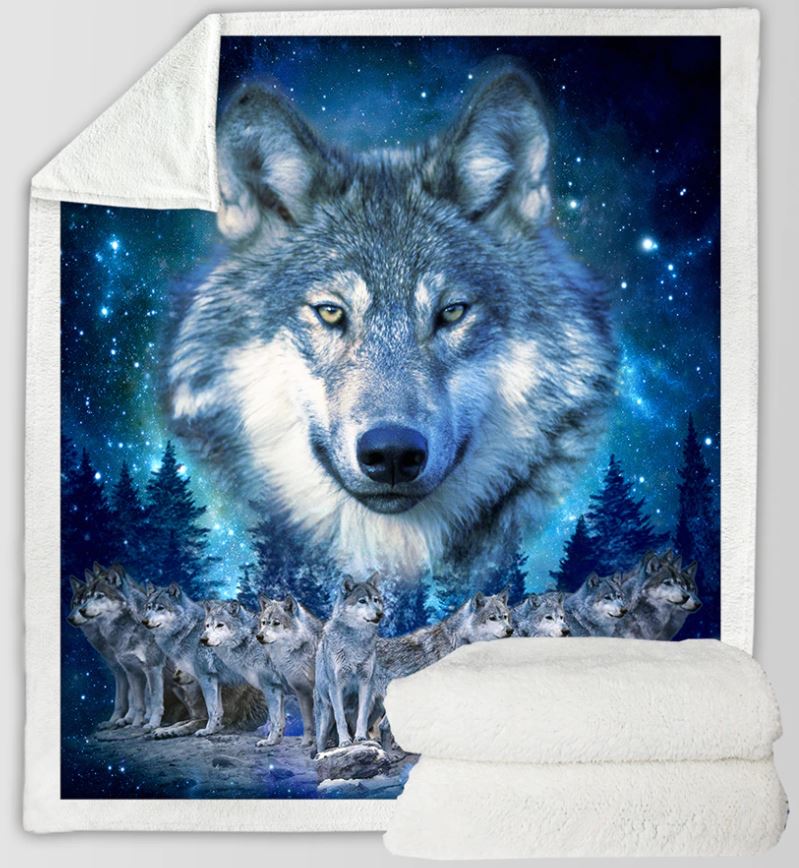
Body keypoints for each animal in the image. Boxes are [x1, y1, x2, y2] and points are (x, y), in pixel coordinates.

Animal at [141, 584, 266, 737]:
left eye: (160, 608)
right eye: (148, 607)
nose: (144, 621)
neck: (188, 629)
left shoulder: (205, 678)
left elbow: (210, 711)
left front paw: (207, 730)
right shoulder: (216, 680)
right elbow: (215, 712)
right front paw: (214, 729)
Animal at [200, 599, 287, 746]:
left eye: (220, 625)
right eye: (207, 625)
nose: (203, 639)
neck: (248, 639)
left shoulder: (271, 688)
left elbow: (275, 720)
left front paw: (269, 741)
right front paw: (275, 741)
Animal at [256, 595, 323, 747]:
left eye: (276, 623)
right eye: (264, 622)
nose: (259, 636)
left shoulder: (308, 692)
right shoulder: (297, 691)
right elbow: (284, 721)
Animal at [314, 574, 384, 753]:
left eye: (376, 600)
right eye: (362, 601)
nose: (380, 614)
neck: (355, 641)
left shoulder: (366, 682)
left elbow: (362, 717)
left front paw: (360, 738)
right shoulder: (336, 685)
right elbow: (340, 719)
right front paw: (345, 741)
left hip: (379, 702)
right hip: (324, 720)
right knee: (320, 745)